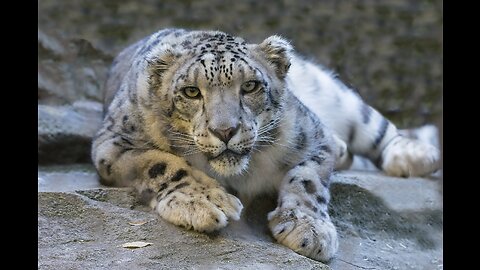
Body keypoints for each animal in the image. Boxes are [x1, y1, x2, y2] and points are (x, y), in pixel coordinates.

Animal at [91, 28, 442, 262]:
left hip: (335, 95)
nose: (225, 130)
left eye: (250, 86)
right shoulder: (113, 143)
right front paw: (205, 202)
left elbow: (308, 179)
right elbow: (160, 162)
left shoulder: (314, 135)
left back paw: (414, 154)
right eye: (191, 91)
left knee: (376, 126)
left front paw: (309, 230)